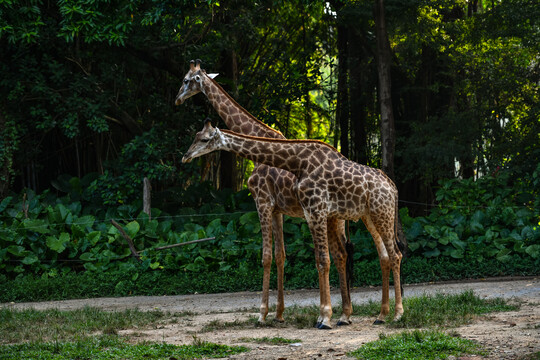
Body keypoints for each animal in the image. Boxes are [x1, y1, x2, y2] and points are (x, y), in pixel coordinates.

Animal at [176, 59, 354, 326]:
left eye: (186, 80)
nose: (177, 98)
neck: (257, 132)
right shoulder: (278, 209)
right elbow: (281, 255)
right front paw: (279, 313)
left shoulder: (262, 202)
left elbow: (267, 256)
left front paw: (262, 313)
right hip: (336, 218)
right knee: (342, 254)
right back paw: (344, 314)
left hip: (328, 216)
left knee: (336, 255)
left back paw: (337, 314)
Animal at [184, 121, 402, 330]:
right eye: (195, 136)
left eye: (204, 139)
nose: (186, 156)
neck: (298, 163)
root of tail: (393, 187)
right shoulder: (311, 213)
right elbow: (319, 260)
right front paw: (324, 316)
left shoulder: (314, 210)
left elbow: (322, 261)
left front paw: (324, 318)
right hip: (371, 216)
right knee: (385, 255)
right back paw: (381, 316)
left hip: (382, 213)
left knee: (395, 255)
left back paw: (398, 314)